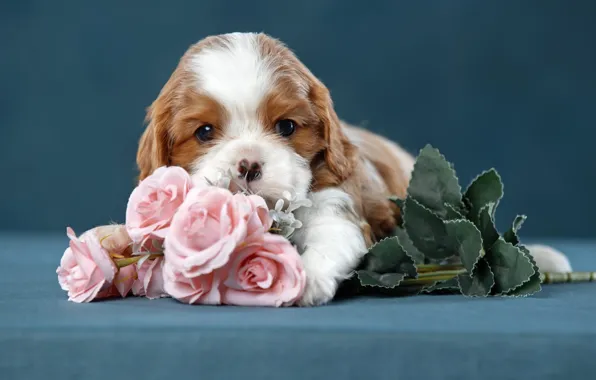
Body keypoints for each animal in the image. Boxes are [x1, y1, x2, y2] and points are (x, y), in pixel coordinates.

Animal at [136, 31, 572, 306]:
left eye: (286, 127)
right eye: (204, 132)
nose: (247, 164)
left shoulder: (337, 205)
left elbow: (331, 240)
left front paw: (306, 278)